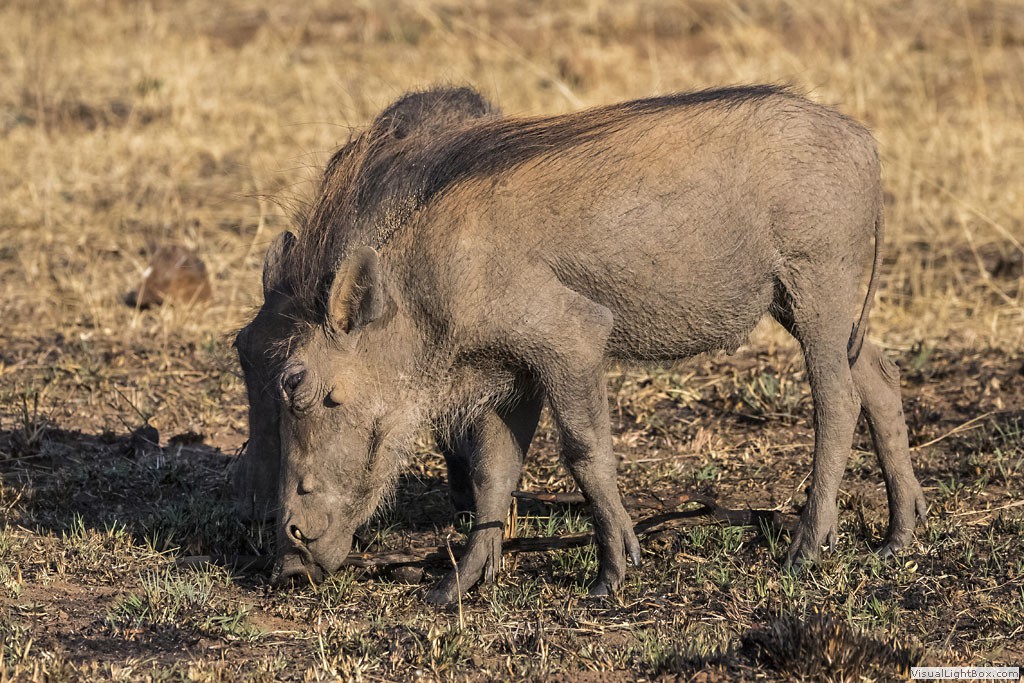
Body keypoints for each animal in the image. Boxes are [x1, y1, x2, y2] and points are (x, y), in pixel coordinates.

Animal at [253, 84, 928, 604]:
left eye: (299, 383)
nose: (287, 568)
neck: (419, 294)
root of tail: (864, 141)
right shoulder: (510, 375)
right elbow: (494, 474)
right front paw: (454, 590)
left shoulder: (570, 339)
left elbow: (585, 451)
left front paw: (613, 574)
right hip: (811, 306)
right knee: (880, 376)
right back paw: (898, 539)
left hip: (819, 287)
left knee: (837, 403)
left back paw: (804, 551)